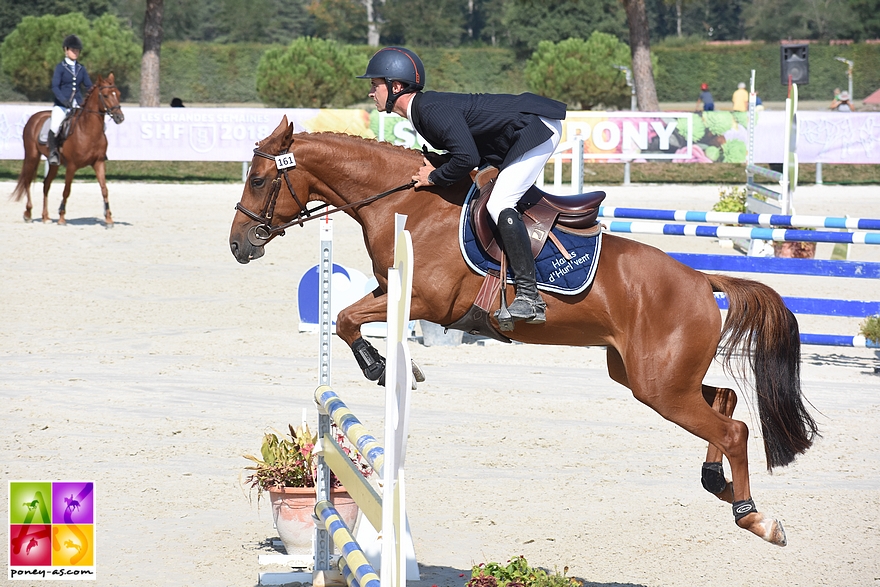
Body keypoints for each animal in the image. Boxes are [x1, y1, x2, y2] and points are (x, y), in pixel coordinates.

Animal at [10, 74, 125, 226]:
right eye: (105, 95)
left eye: (118, 94)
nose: (120, 117)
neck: (87, 131)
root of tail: (35, 117)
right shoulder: (72, 166)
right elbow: (67, 190)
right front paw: (61, 217)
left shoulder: (99, 163)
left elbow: (104, 189)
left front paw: (109, 219)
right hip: (32, 156)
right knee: (27, 181)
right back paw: (28, 214)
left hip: (54, 163)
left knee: (46, 184)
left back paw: (45, 217)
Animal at [229, 115, 820, 548]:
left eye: (258, 180)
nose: (238, 245)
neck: (406, 199)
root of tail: (701, 278)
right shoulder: (392, 290)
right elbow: (344, 316)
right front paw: (386, 365)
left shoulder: (425, 300)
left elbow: (346, 317)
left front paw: (382, 367)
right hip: (645, 377)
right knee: (724, 399)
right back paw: (717, 483)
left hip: (660, 385)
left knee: (733, 429)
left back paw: (755, 518)